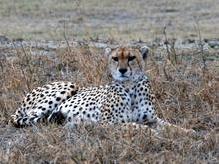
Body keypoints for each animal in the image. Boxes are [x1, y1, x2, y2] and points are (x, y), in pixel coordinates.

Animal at [11, 45, 194, 135]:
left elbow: (170, 126)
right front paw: (150, 132)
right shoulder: (108, 123)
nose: (122, 70)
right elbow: (134, 125)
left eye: (131, 58)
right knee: (36, 117)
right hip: (69, 86)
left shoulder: (152, 118)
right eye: (115, 58)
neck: (130, 87)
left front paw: (189, 131)